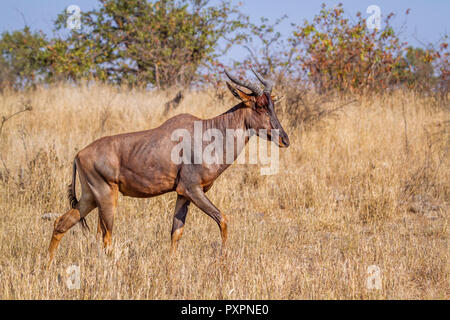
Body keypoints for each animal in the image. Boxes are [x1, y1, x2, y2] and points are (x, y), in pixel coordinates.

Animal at [47, 69, 290, 262]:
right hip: (107, 197)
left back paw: (48, 267)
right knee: (105, 237)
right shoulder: (193, 190)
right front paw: (223, 260)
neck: (207, 133)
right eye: (259, 106)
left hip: (90, 197)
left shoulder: (182, 194)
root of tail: (79, 154)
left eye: (272, 105)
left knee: (62, 223)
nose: (284, 139)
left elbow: (176, 233)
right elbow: (222, 219)